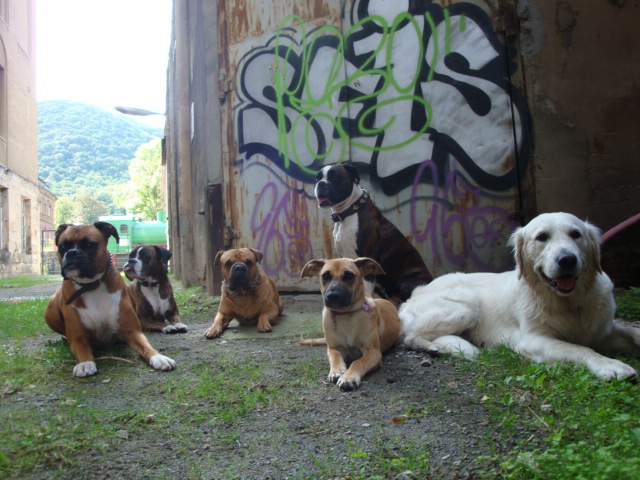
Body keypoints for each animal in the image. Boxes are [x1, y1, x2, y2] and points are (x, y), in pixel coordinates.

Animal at [43, 222, 176, 377]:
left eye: (89, 244)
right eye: (63, 246)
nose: (71, 252)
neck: (91, 285)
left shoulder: (132, 331)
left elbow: (147, 347)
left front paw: (159, 357)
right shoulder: (78, 337)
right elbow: (83, 350)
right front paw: (85, 363)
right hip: (50, 310)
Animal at [300, 257, 402, 390]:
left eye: (349, 275)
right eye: (325, 276)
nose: (332, 296)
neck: (345, 315)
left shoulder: (373, 352)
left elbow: (358, 362)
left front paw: (349, 377)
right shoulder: (333, 348)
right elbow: (335, 357)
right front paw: (337, 370)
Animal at [315, 163, 432, 305]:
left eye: (334, 176)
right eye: (317, 178)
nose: (320, 184)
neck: (349, 212)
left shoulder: (367, 262)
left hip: (403, 282)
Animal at [399, 212, 640, 379]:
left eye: (576, 234)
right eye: (542, 237)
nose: (567, 259)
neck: (568, 303)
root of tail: (414, 293)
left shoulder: (602, 330)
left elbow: (632, 332)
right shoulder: (533, 340)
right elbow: (580, 348)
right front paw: (611, 365)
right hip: (466, 304)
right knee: (411, 338)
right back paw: (434, 348)